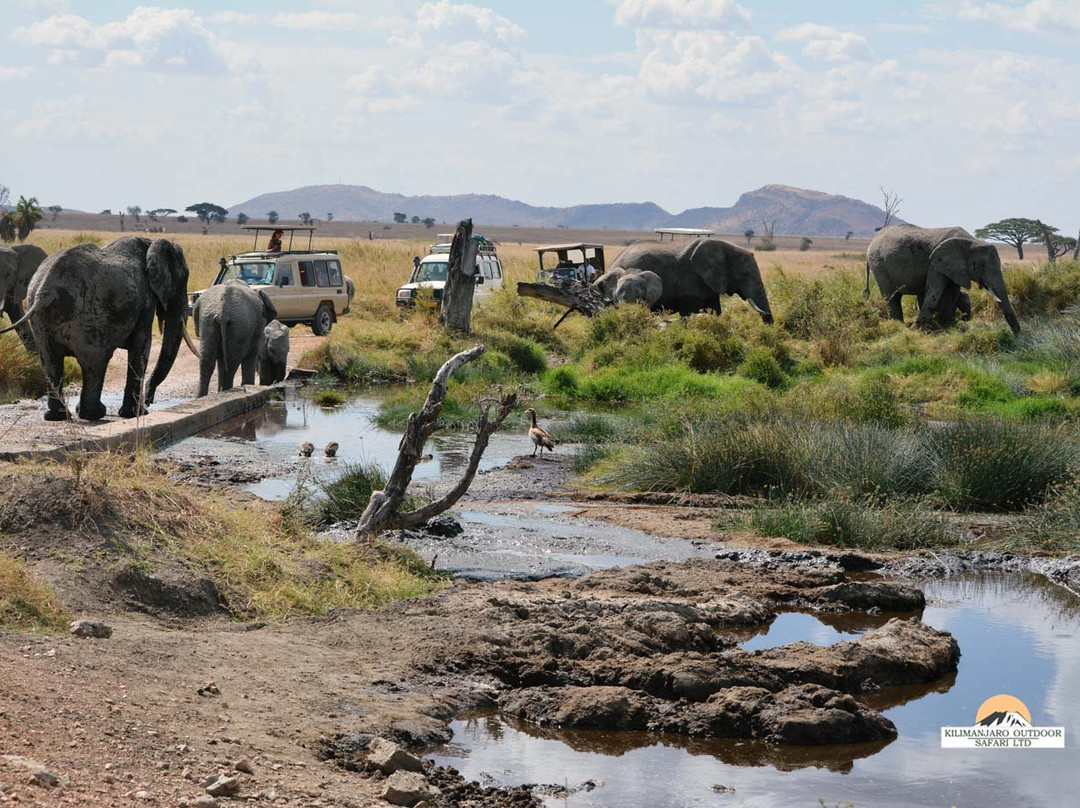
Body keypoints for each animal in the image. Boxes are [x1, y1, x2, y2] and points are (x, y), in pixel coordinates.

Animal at [0, 235, 192, 419]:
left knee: (51, 362)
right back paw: (94, 414)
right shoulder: (145, 300)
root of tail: (45, 292)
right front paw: (135, 414)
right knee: (95, 362)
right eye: (184, 277)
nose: (149, 401)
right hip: (90, 318)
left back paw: (57, 416)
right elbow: (142, 345)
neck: (150, 243)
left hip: (41, 319)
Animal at [864, 223, 1015, 334]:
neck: (971, 241)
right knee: (892, 296)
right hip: (878, 263)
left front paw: (946, 326)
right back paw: (898, 326)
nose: (1017, 336)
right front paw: (916, 329)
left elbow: (951, 293)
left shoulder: (953, 267)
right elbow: (934, 292)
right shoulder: (935, 263)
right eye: (982, 265)